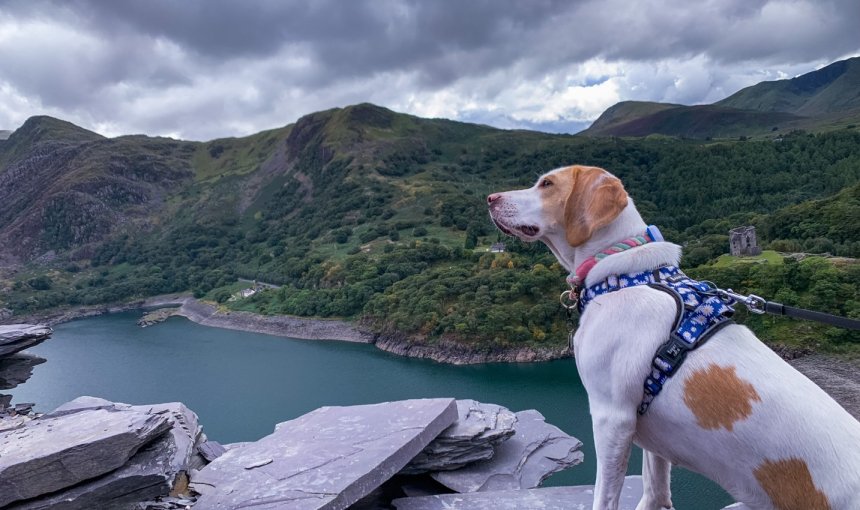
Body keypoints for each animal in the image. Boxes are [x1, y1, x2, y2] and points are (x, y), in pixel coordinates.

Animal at [488, 164, 856, 510]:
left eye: (547, 184)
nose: (490, 198)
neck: (623, 273)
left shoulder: (612, 418)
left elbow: (605, 496)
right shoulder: (646, 431)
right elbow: (655, 489)